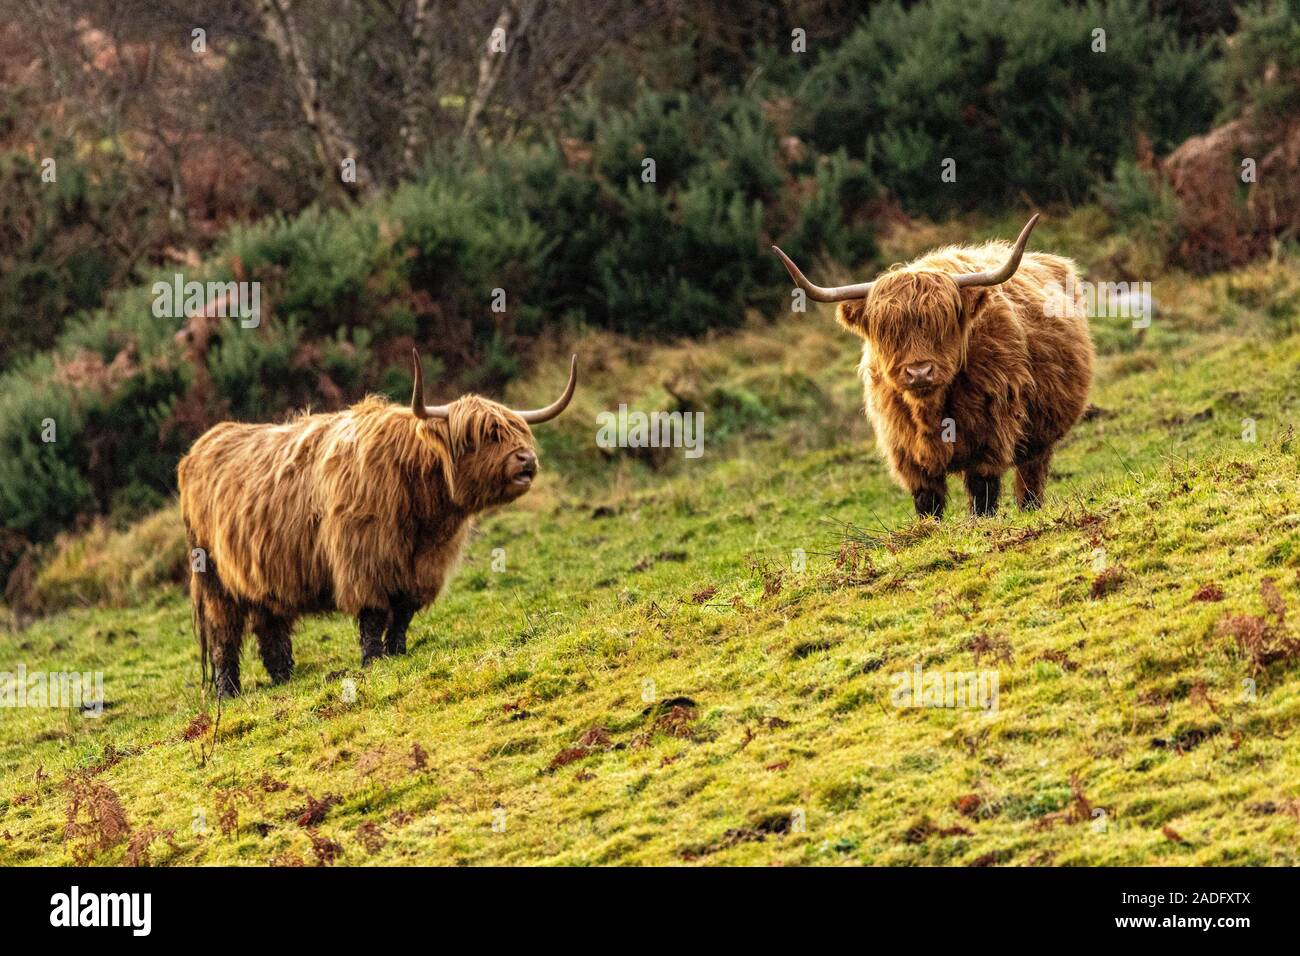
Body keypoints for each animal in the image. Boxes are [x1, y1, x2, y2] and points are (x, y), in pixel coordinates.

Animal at [178, 350, 577, 697]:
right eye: (483, 436)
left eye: (519, 432)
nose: (526, 459)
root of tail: (203, 444)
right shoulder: (364, 557)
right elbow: (373, 614)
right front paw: (373, 659)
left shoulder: (423, 566)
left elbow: (402, 613)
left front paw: (398, 650)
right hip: (214, 579)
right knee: (225, 635)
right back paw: (228, 691)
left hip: (262, 575)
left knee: (270, 627)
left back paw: (283, 678)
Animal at [772, 215, 1093, 519]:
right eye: (887, 331)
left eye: (942, 323)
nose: (919, 372)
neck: (930, 409)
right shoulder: (906, 453)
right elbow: (928, 502)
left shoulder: (991, 437)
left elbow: (983, 495)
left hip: (1041, 435)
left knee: (1030, 478)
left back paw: (1031, 509)